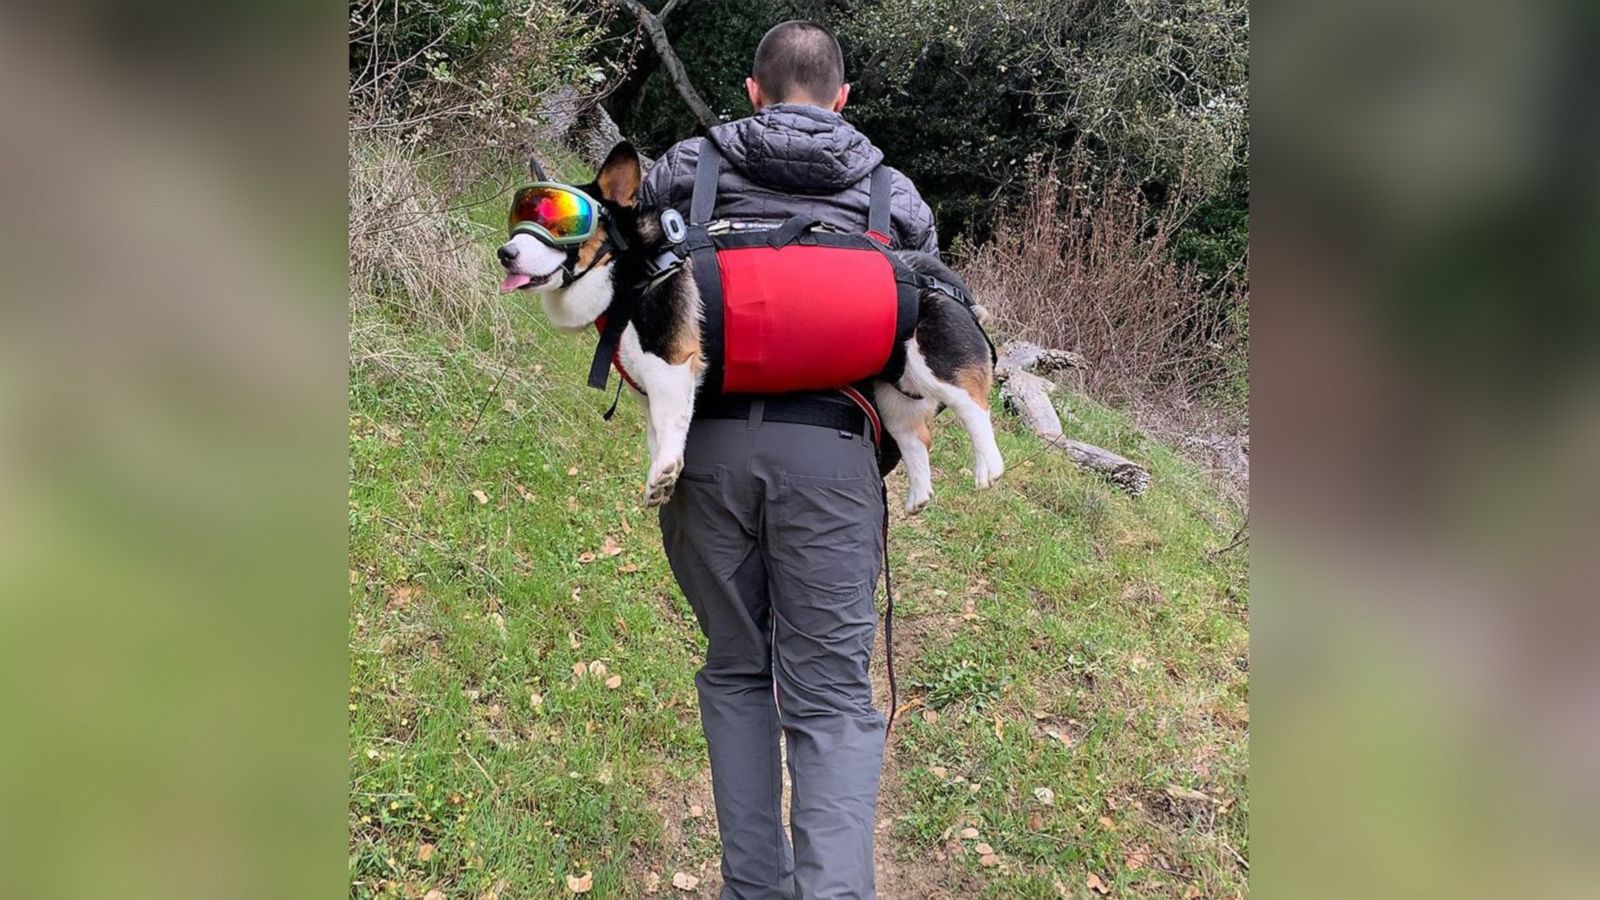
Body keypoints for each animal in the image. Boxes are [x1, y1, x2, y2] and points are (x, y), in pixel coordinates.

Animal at [499, 145, 998, 512]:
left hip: (937, 367)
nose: (506, 253)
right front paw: (661, 476)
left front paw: (664, 472)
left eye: (568, 223)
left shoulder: (672, 366)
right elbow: (661, 432)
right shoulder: (654, 387)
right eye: (522, 218)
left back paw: (987, 467)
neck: (634, 267)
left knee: (975, 407)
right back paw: (918, 495)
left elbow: (669, 429)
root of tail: (936, 276)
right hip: (896, 395)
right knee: (917, 439)